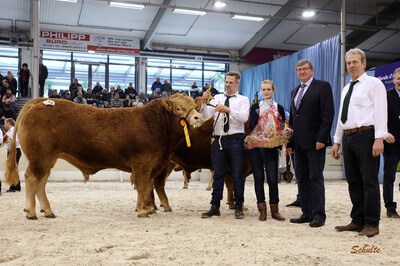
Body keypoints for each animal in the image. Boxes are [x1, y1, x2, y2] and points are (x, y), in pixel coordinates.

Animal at [6, 93, 205, 218]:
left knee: (41, 182)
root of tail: (38, 102)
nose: (198, 117)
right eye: (178, 108)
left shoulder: (153, 165)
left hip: (47, 160)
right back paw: (32, 212)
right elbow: (142, 187)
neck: (155, 125)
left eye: (194, 106)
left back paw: (48, 211)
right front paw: (142, 211)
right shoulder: (142, 164)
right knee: (32, 179)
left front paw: (148, 209)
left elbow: (148, 186)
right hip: (39, 158)